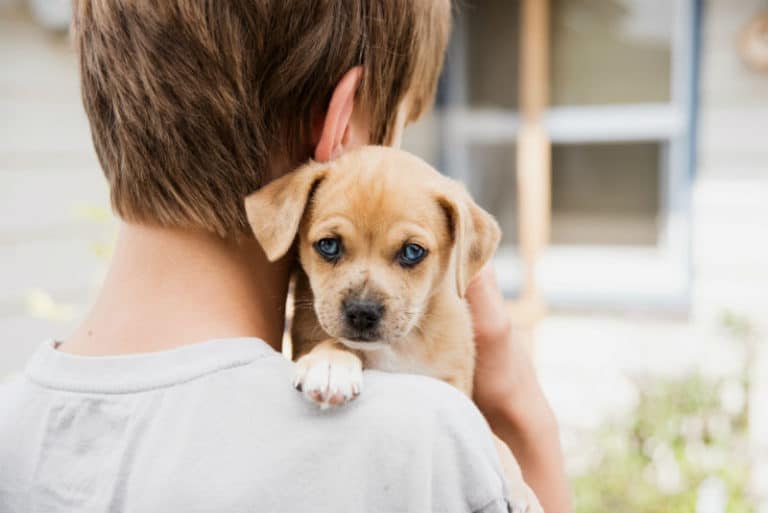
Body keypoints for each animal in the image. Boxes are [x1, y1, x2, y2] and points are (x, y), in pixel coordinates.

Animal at [246, 145, 540, 512]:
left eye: (412, 252)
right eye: (328, 245)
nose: (362, 312)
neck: (395, 349)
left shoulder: (455, 385)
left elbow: (489, 429)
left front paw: (520, 485)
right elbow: (332, 343)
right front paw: (331, 366)